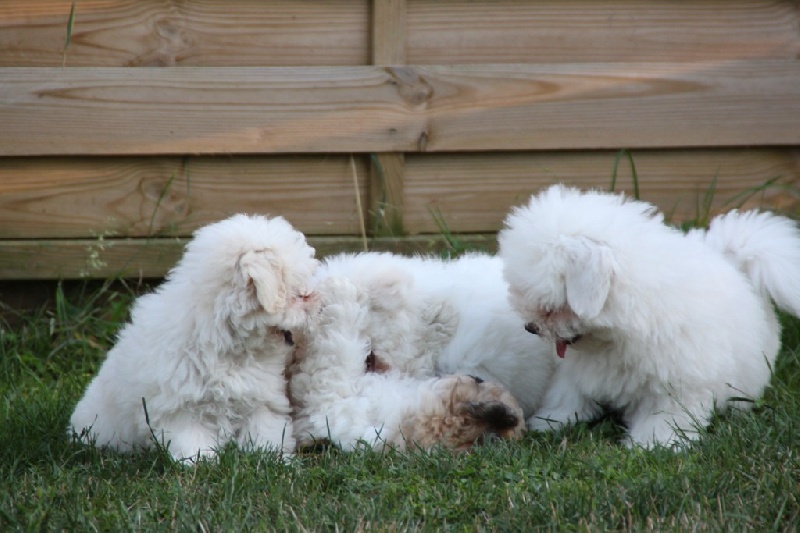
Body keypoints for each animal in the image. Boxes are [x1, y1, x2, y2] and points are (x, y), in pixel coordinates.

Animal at [69, 214, 318, 460]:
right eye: (300, 295)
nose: (316, 301)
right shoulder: (180, 404)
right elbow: (190, 436)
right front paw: (199, 462)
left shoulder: (261, 396)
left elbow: (264, 428)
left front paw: (270, 457)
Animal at [500, 185, 800, 446]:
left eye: (550, 308)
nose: (530, 327)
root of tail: (734, 263)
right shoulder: (577, 371)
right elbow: (569, 394)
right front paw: (551, 421)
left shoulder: (676, 380)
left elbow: (666, 415)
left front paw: (654, 444)